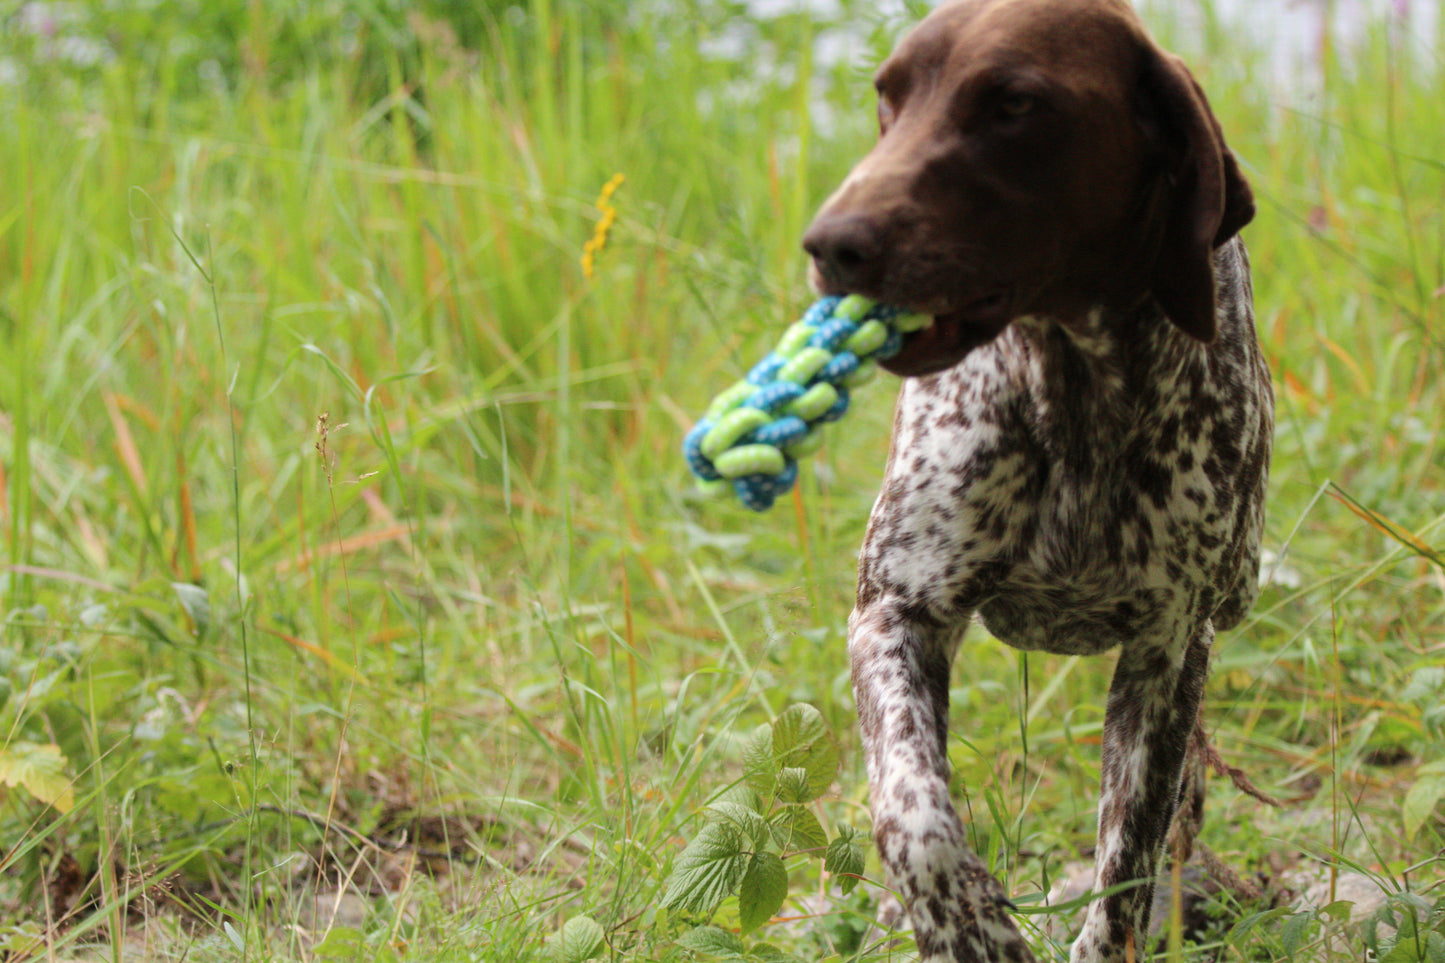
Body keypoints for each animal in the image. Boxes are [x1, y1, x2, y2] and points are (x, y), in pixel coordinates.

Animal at [803, 1, 1277, 960]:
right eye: (887, 97)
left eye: (1014, 105)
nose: (830, 244)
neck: (1072, 385)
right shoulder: (894, 613)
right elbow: (914, 816)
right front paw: (967, 926)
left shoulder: (1167, 651)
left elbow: (1124, 862)